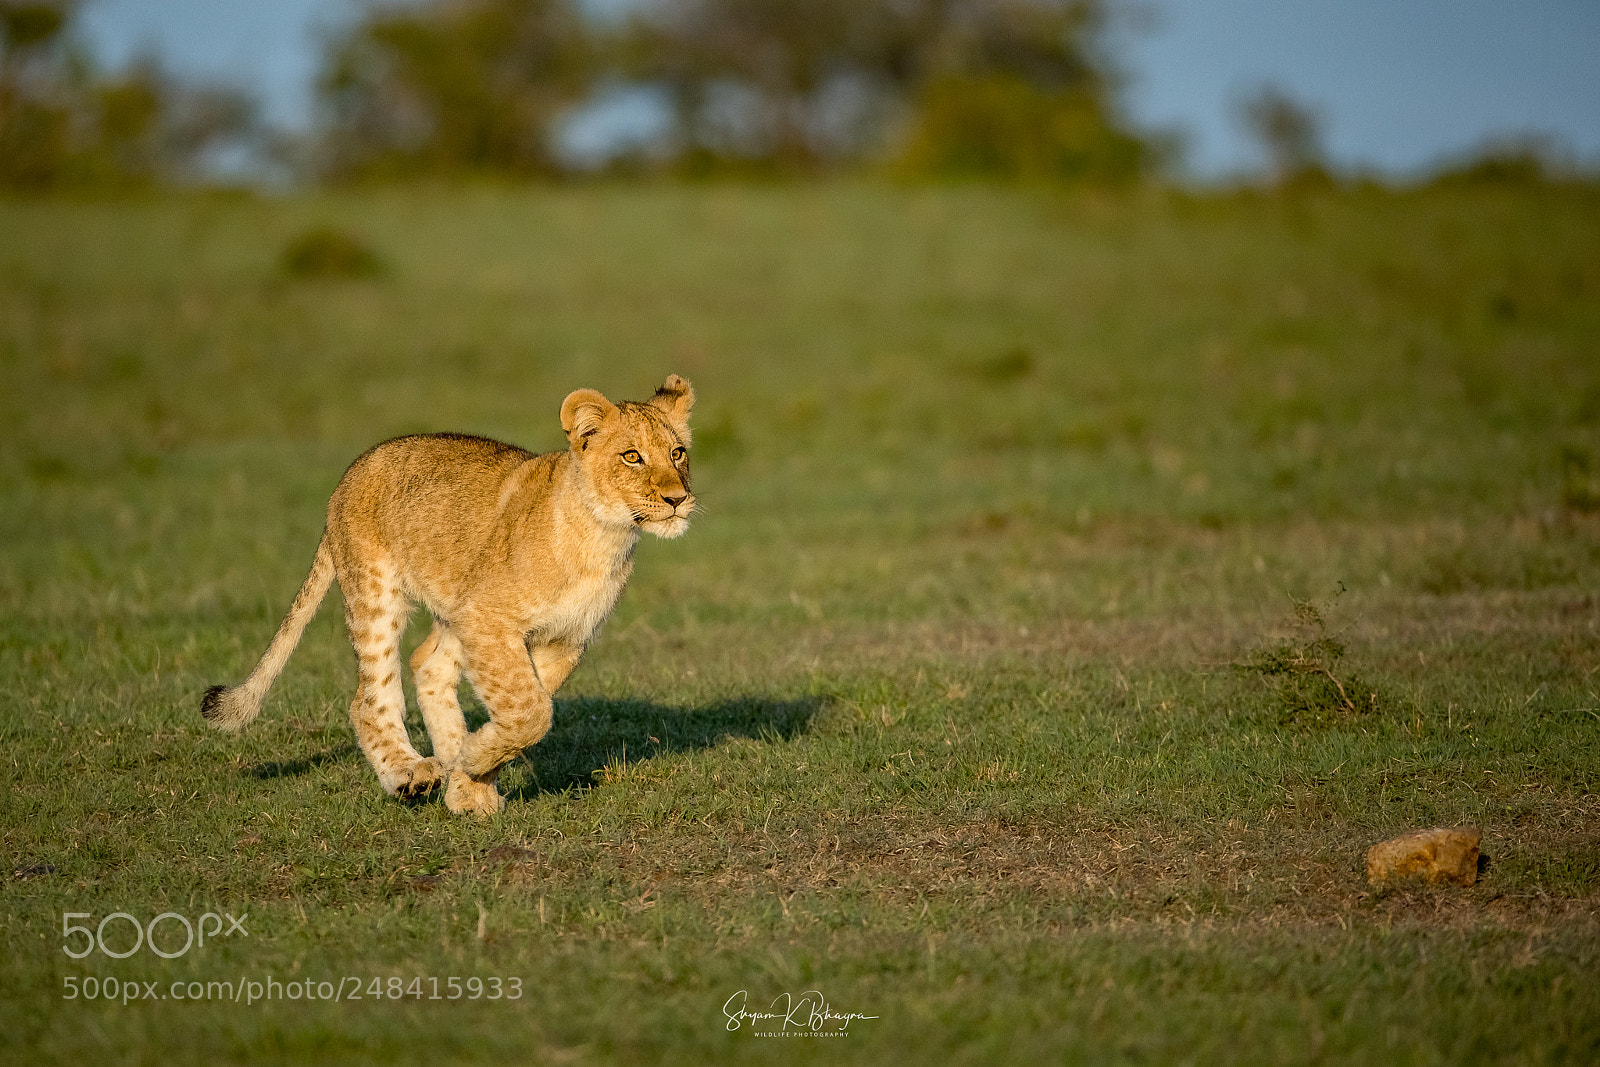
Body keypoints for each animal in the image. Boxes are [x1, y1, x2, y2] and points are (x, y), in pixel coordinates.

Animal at [201, 375, 695, 815]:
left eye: (678, 453)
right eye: (631, 456)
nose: (677, 499)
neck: (604, 538)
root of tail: (351, 472)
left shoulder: (562, 640)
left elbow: (524, 710)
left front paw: (470, 776)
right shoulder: (490, 620)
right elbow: (532, 712)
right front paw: (472, 760)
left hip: (456, 608)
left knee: (427, 665)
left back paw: (457, 780)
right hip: (378, 594)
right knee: (369, 699)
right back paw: (410, 773)